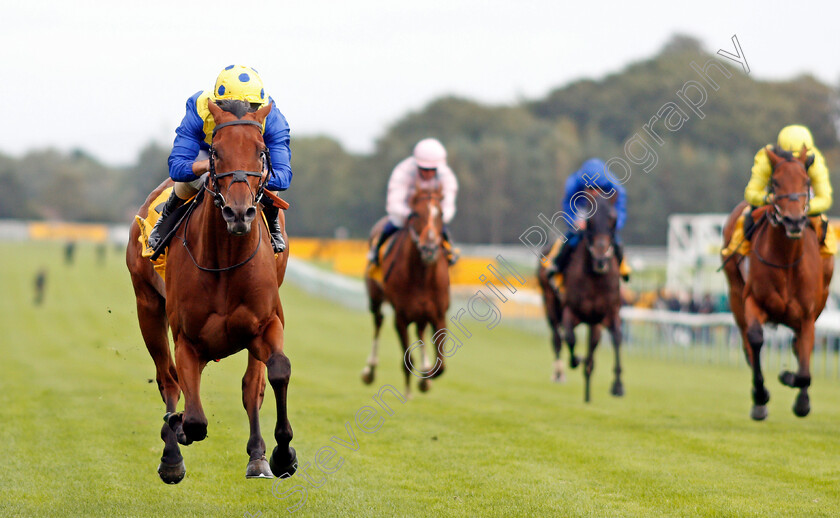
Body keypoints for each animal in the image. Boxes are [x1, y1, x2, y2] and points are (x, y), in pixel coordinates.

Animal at [123, 100, 296, 484]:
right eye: (216, 152)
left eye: (261, 151)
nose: (239, 212)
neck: (226, 264)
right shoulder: (187, 339)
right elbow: (194, 418)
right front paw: (177, 431)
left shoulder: (267, 323)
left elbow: (276, 372)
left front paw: (282, 454)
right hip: (147, 307)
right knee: (168, 380)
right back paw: (172, 453)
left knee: (251, 386)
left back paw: (258, 456)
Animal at [362, 185, 452, 400]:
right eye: (415, 214)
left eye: (441, 213)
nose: (429, 249)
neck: (422, 276)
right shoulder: (400, 317)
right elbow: (407, 359)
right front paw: (409, 392)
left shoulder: (439, 315)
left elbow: (441, 366)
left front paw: (426, 378)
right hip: (375, 298)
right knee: (378, 322)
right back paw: (369, 371)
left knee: (420, 330)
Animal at [556, 193, 624, 404]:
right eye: (589, 220)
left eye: (613, 219)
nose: (601, 259)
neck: (595, 277)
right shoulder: (570, 310)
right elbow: (570, 337)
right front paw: (577, 360)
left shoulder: (606, 312)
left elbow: (616, 338)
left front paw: (618, 385)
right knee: (559, 337)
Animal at [720, 146, 832, 422]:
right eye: (776, 182)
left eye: (806, 181)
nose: (794, 221)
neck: (787, 263)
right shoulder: (753, 300)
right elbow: (755, 339)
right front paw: (761, 396)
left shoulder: (807, 315)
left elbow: (804, 363)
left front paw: (799, 396)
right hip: (735, 294)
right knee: (747, 343)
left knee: (798, 347)